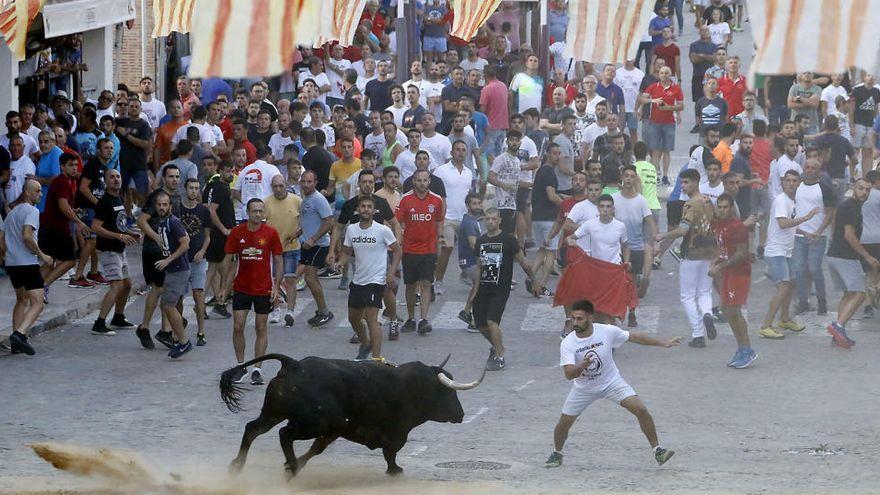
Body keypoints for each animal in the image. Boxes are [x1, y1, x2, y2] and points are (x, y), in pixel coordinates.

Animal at [217, 352, 484, 476]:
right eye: (449, 393)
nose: (461, 414)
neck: (415, 386)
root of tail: (294, 364)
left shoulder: (335, 431)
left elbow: (317, 450)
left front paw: (297, 463)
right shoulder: (397, 434)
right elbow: (391, 454)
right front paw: (395, 471)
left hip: (275, 412)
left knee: (253, 429)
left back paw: (237, 466)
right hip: (311, 423)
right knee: (284, 434)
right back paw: (290, 467)